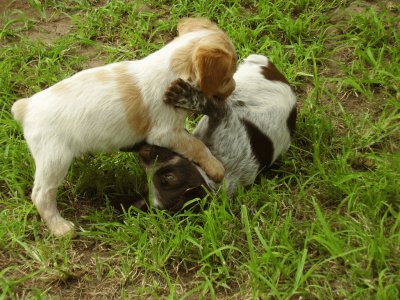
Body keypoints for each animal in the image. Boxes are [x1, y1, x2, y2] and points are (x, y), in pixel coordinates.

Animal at [11, 17, 238, 237]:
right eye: (228, 76)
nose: (234, 88)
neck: (171, 67)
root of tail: (26, 107)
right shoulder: (166, 133)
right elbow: (197, 146)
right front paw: (216, 168)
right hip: (55, 160)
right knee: (41, 195)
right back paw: (60, 228)